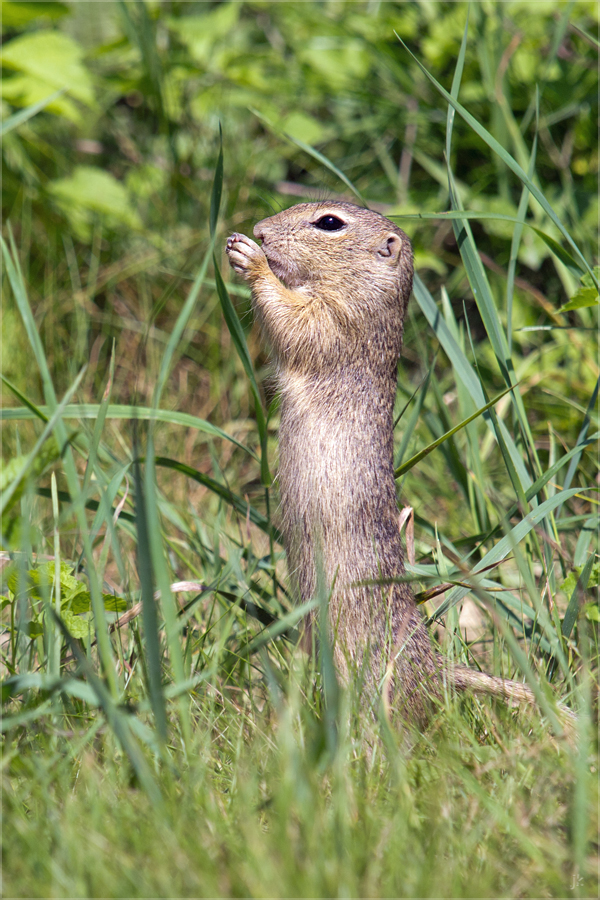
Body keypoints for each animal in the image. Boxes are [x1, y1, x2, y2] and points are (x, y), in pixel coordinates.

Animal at [225, 202, 536, 724]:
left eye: (329, 223)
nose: (260, 230)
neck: (362, 292)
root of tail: (434, 668)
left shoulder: (337, 324)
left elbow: (293, 322)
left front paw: (251, 259)